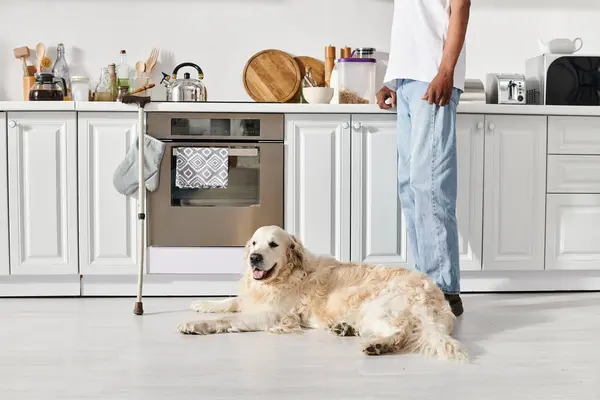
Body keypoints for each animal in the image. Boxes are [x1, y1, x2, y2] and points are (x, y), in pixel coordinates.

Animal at [176, 225, 466, 362]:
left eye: (273, 244)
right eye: (255, 243)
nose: (254, 258)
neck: (285, 275)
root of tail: (435, 295)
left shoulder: (271, 316)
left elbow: (228, 319)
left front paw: (194, 325)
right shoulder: (253, 299)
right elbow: (231, 302)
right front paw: (203, 304)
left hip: (377, 308)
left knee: (401, 333)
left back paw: (378, 345)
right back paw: (345, 328)